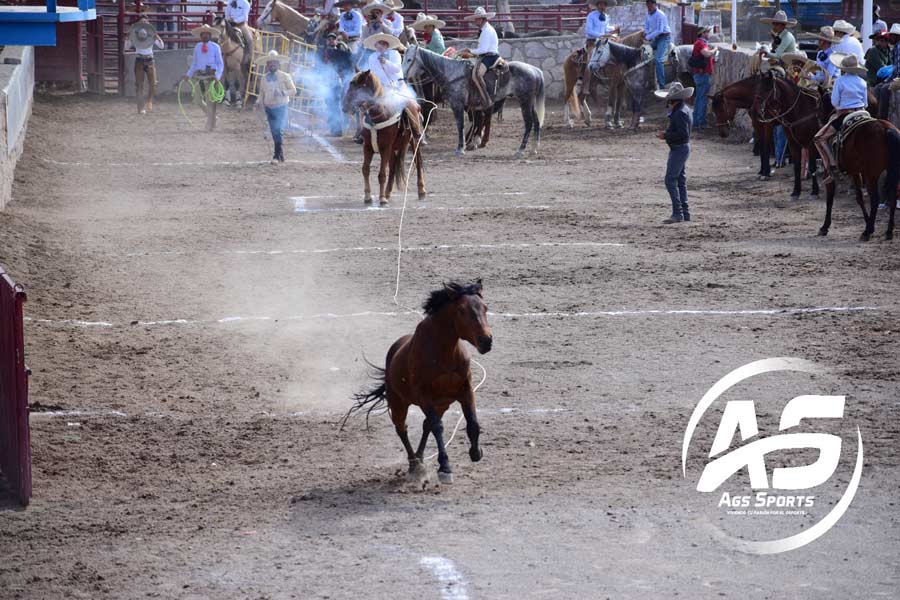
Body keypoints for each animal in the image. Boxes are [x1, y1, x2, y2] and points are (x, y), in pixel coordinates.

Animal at [344, 70, 428, 205]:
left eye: (358, 86)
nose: (344, 106)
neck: (378, 116)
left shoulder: (385, 148)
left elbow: (382, 174)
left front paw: (381, 198)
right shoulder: (368, 147)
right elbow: (365, 169)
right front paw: (368, 196)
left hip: (413, 142)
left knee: (418, 163)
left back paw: (421, 190)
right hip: (393, 149)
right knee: (393, 168)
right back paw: (388, 192)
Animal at [348, 282, 496, 482]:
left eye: (485, 308)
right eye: (461, 310)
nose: (486, 341)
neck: (444, 353)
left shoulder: (466, 390)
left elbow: (472, 422)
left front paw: (476, 452)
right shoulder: (424, 396)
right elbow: (438, 428)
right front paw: (445, 468)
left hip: (441, 405)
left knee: (426, 426)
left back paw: (419, 458)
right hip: (398, 403)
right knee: (402, 428)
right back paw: (414, 464)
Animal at [404, 45, 544, 158]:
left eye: (409, 59)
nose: (403, 77)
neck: (451, 72)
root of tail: (535, 70)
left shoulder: (457, 104)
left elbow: (460, 124)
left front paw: (460, 148)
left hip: (524, 101)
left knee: (529, 123)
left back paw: (520, 150)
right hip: (530, 103)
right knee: (536, 122)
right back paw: (533, 149)